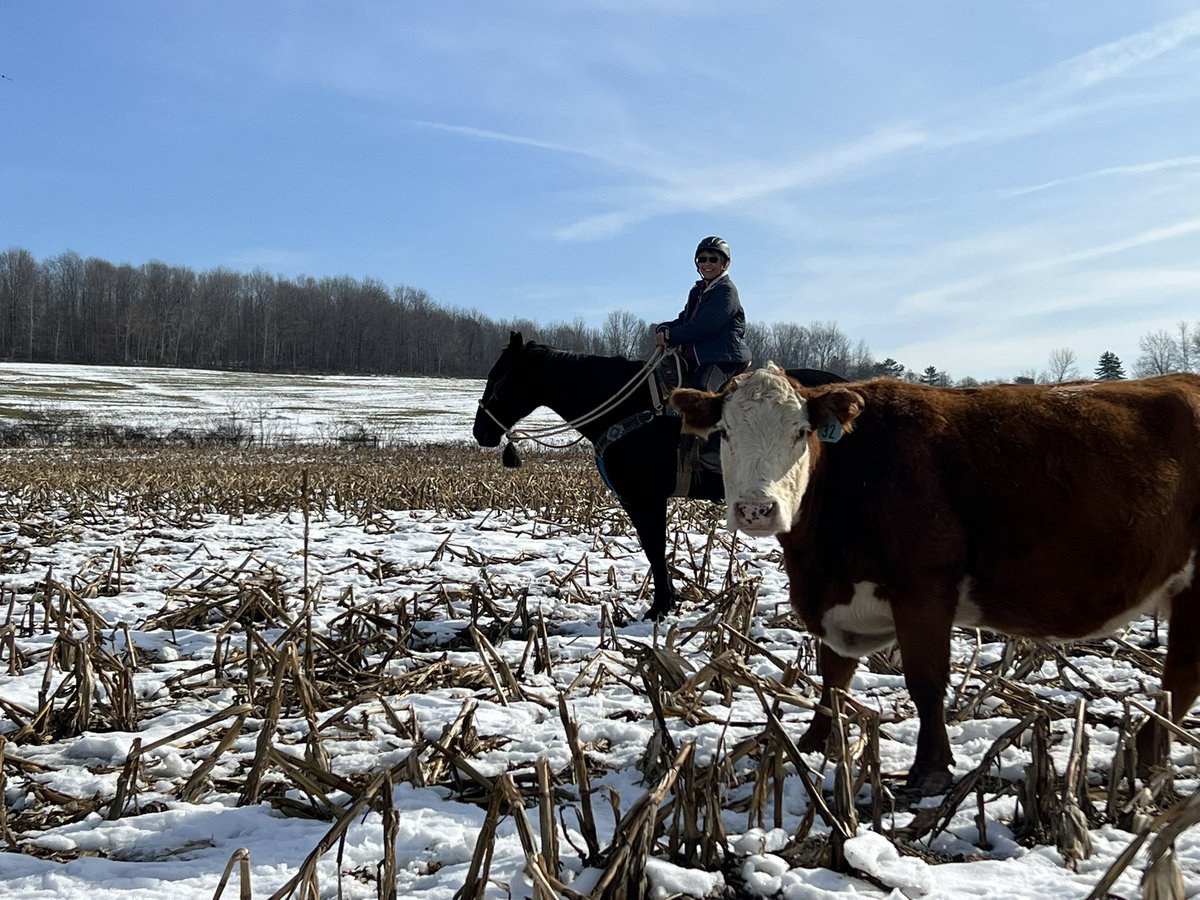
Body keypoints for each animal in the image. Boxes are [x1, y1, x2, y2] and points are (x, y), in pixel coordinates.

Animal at [473, 332, 845, 619]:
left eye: (499, 377)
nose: (481, 432)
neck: (627, 408)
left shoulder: (644, 498)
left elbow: (654, 548)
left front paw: (660, 607)